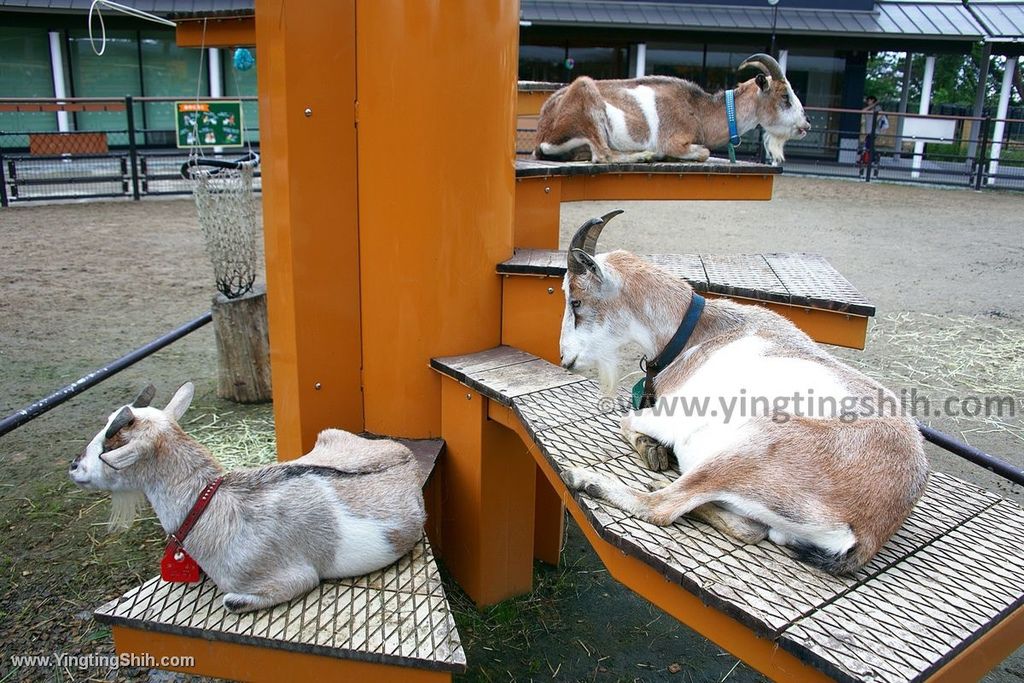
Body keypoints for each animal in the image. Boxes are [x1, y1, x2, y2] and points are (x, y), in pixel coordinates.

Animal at [70, 385, 425, 614]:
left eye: (108, 449)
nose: (74, 466)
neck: (210, 503)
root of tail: (405, 455)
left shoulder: (293, 578)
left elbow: (232, 601)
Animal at [536, 52, 806, 164]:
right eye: (785, 96)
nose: (806, 125)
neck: (699, 110)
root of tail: (542, 132)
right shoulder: (673, 140)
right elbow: (704, 152)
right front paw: (663, 154)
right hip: (586, 93)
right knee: (603, 155)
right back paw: (646, 155)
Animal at [557, 211, 933, 573]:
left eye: (576, 301)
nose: (564, 357)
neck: (703, 334)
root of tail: (869, 531)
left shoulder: (671, 417)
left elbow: (626, 420)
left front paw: (650, 448)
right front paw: (654, 451)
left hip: (744, 450)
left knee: (662, 508)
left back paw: (587, 478)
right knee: (749, 528)